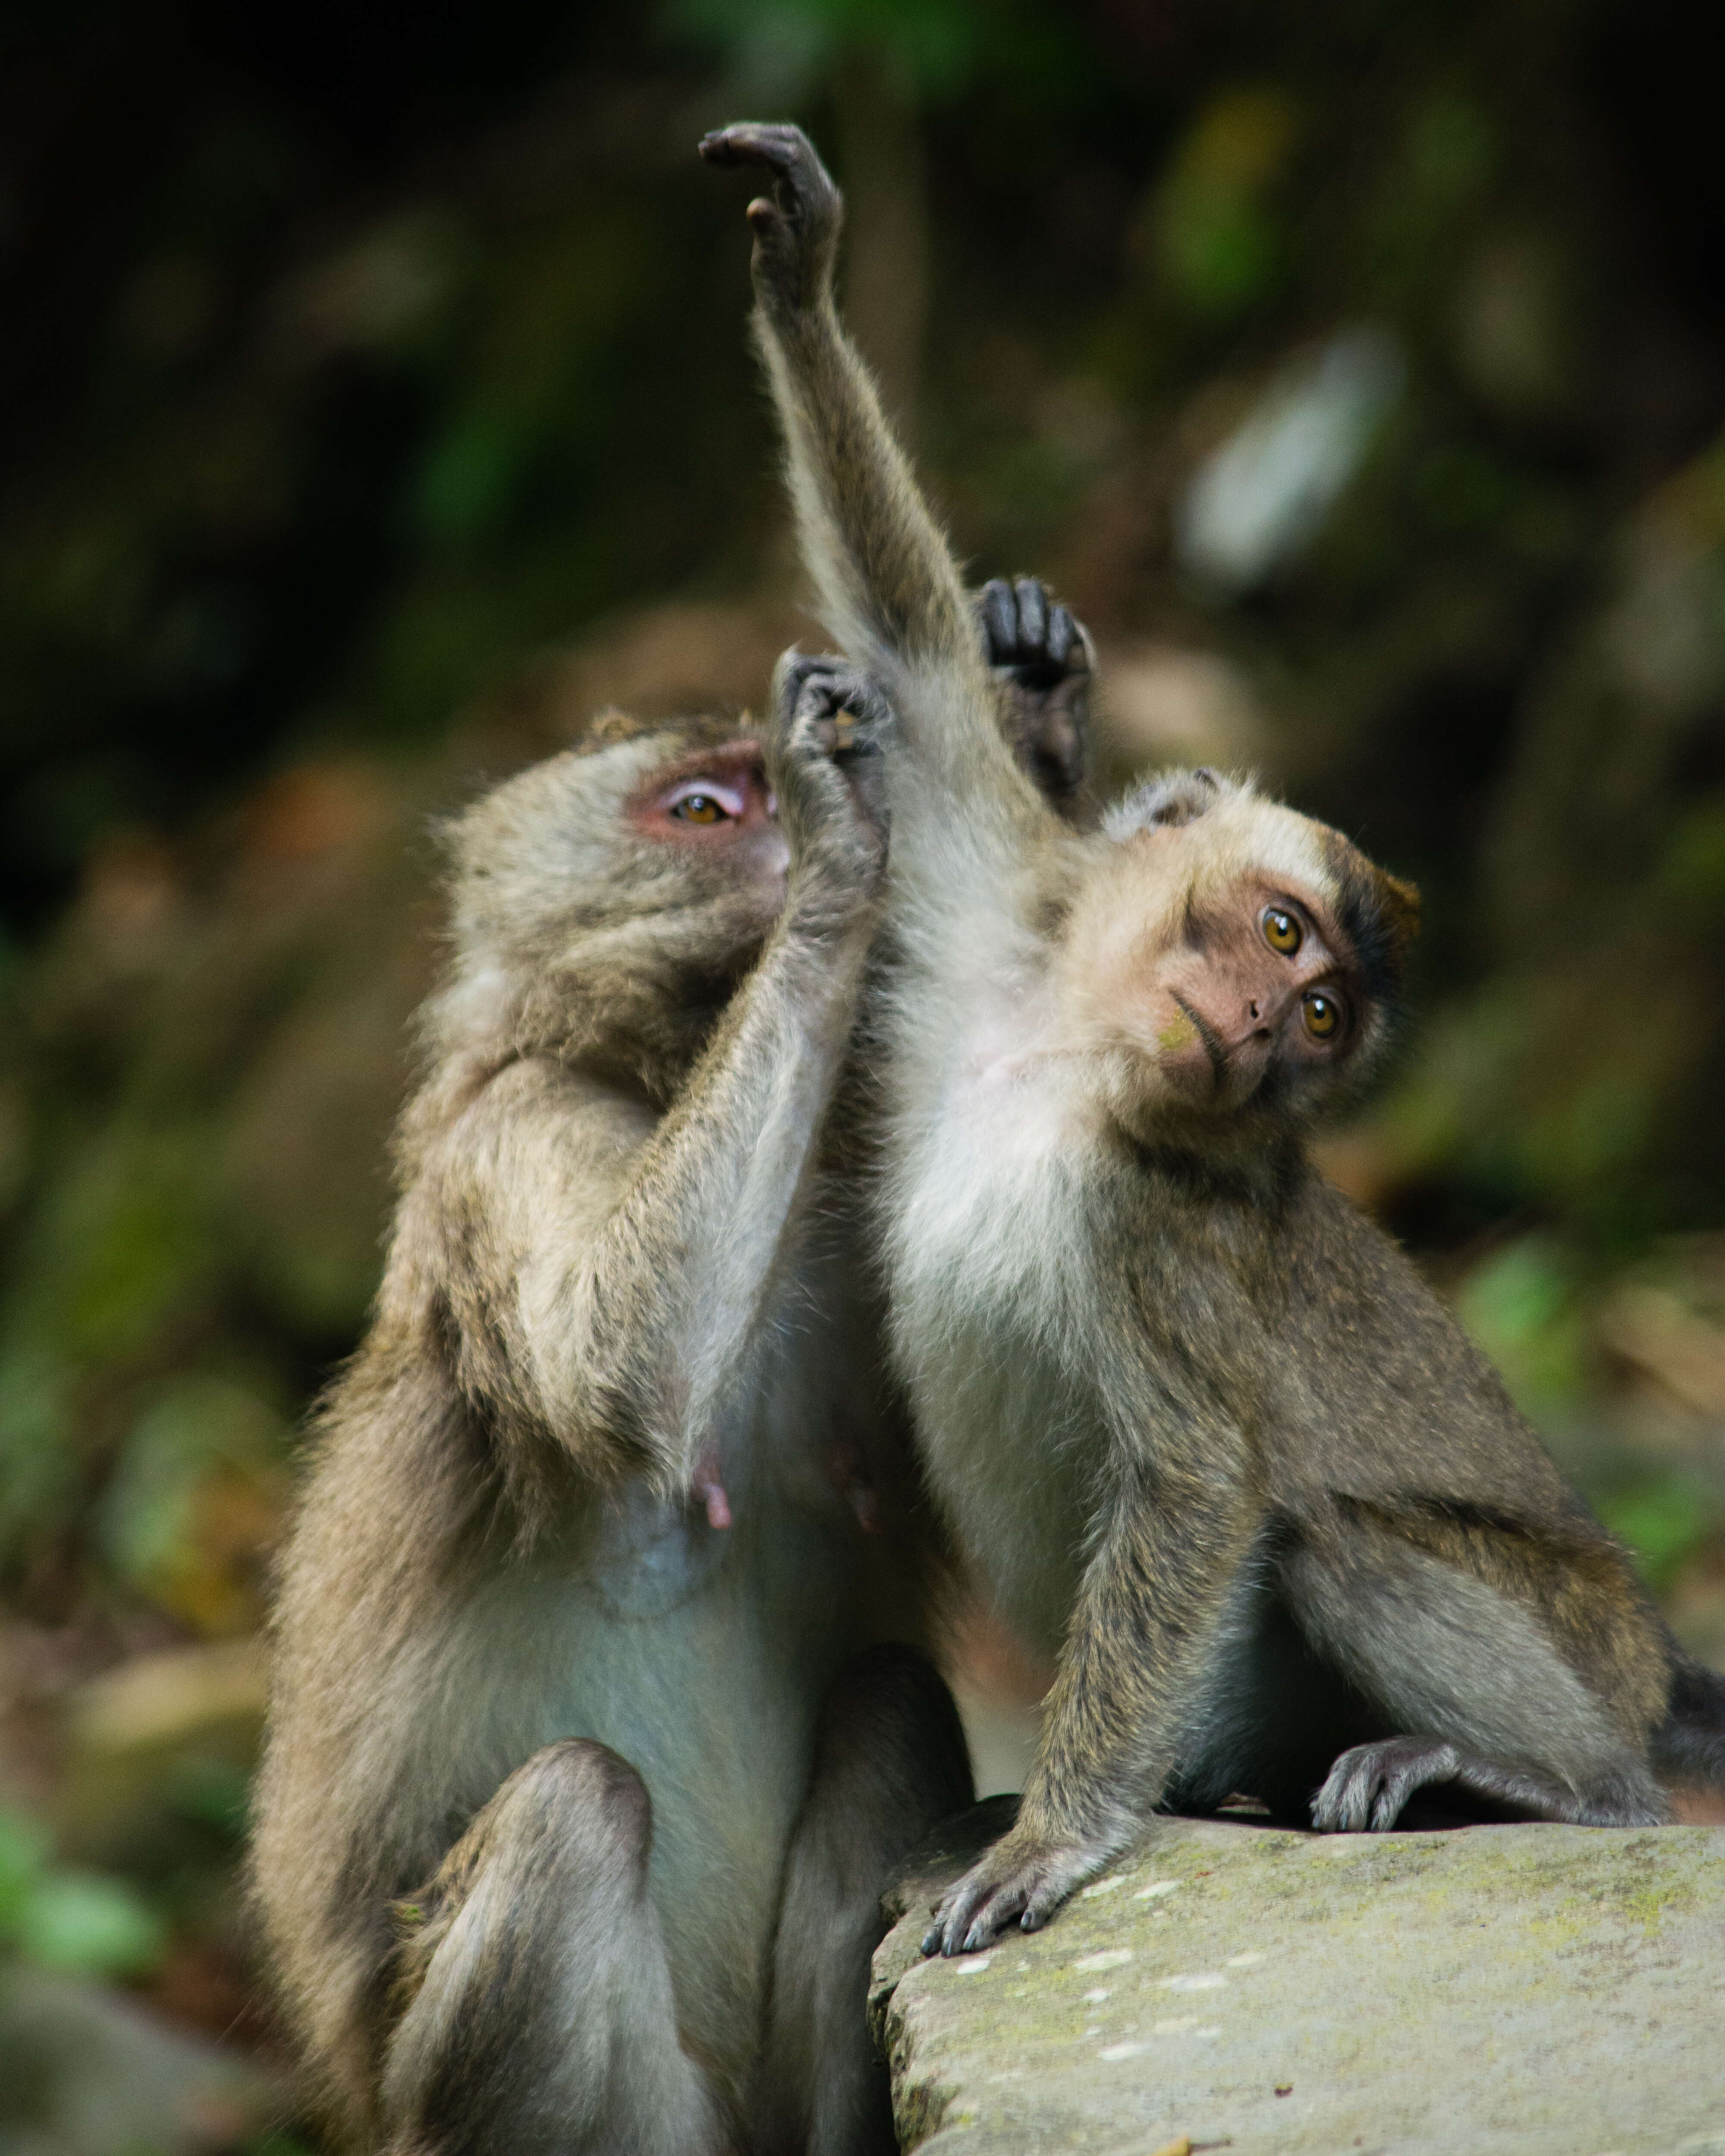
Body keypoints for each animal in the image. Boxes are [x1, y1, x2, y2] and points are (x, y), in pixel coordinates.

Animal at [699, 126, 1725, 1966]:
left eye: (1316, 1017)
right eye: (1280, 941)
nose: (1252, 1024)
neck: (1071, 1071)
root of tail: (1654, 1662)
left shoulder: (1156, 1233)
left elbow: (1189, 1489)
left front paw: (1051, 1836)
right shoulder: (993, 923)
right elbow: (910, 646)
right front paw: (798, 271)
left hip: (1575, 1640)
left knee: (1337, 1546)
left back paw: (1537, 1782)